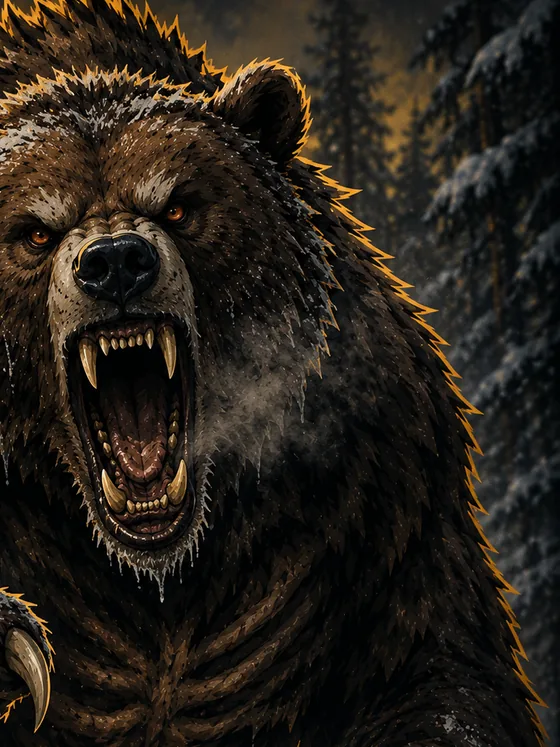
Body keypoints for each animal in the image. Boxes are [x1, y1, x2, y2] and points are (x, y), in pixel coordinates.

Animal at [0, 0, 547, 745]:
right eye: (36, 231)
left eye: (178, 205)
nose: (115, 263)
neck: (156, 573)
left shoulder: (369, 496)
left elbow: (441, 675)